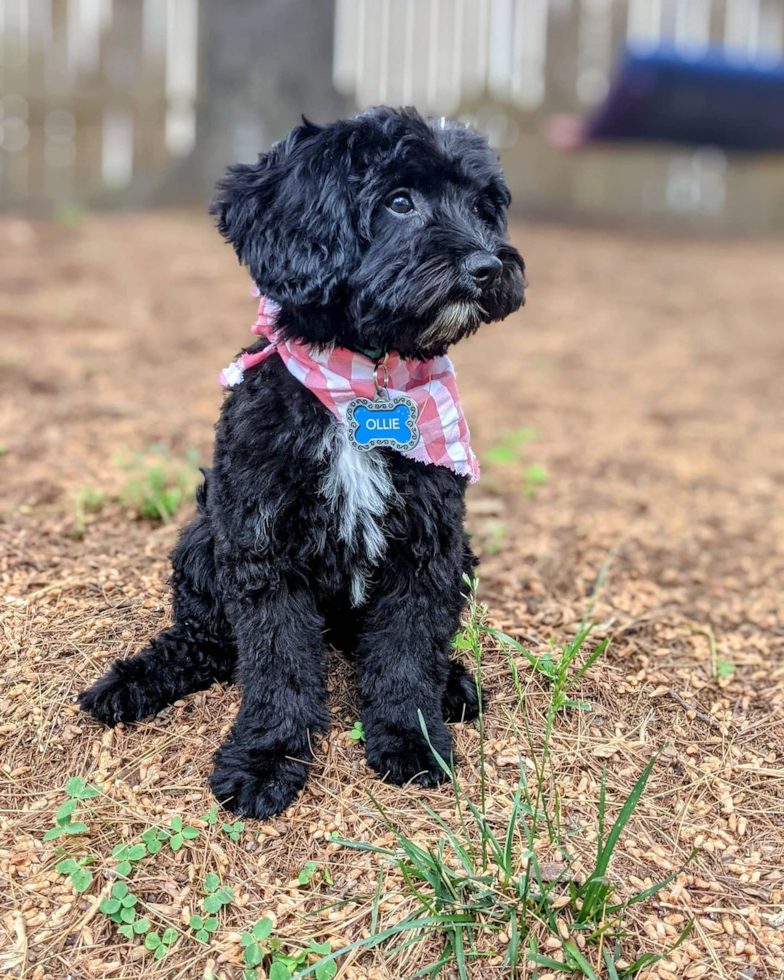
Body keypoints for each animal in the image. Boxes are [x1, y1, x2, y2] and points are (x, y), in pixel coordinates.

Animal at [78, 105, 528, 820]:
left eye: (485, 208)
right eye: (399, 201)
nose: (488, 266)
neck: (363, 379)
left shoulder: (427, 545)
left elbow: (406, 652)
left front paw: (412, 739)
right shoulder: (263, 546)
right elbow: (277, 661)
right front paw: (266, 759)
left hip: (459, 559)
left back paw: (453, 682)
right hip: (202, 540)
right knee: (205, 640)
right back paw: (135, 680)